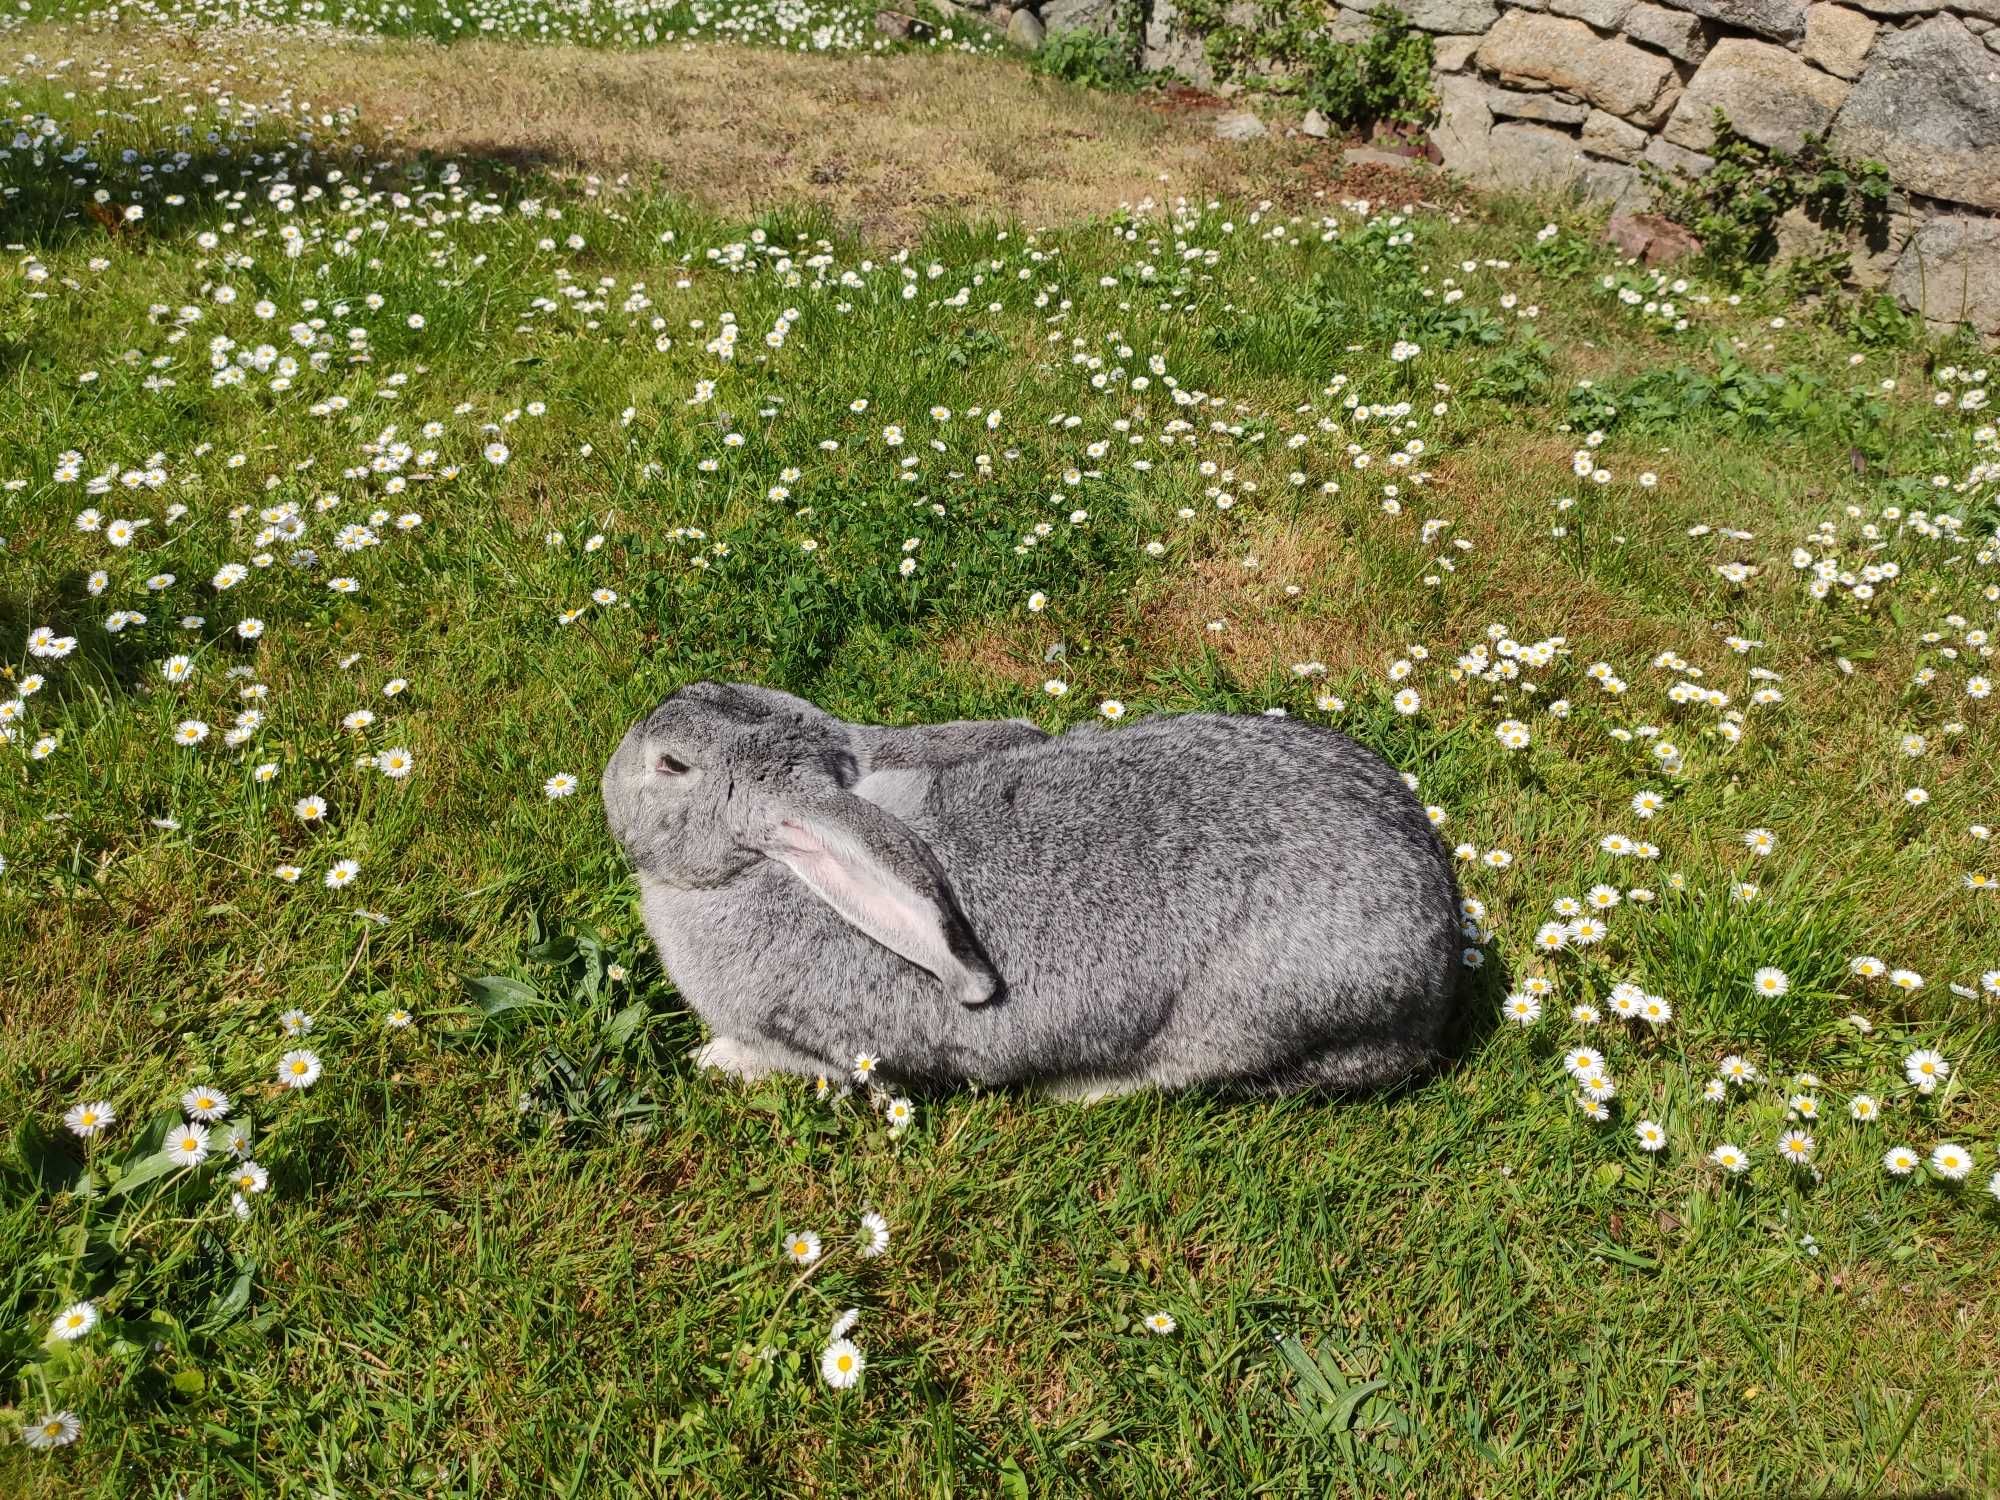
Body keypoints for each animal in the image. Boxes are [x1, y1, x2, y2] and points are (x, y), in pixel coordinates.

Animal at [600, 688, 1464, 1096]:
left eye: (670, 766)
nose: (611, 769)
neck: (767, 865)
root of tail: (1443, 946)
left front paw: (714, 1059)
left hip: (1249, 1021)